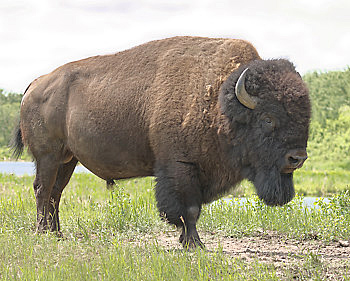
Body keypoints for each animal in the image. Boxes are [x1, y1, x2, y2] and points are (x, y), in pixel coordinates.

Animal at [12, 35, 310, 247]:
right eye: (268, 118)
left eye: (305, 116)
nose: (297, 158)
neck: (219, 101)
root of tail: (35, 84)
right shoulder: (180, 167)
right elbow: (188, 209)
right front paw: (194, 245)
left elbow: (192, 210)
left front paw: (189, 242)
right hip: (48, 156)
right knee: (42, 190)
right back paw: (42, 233)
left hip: (68, 159)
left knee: (55, 193)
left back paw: (57, 234)